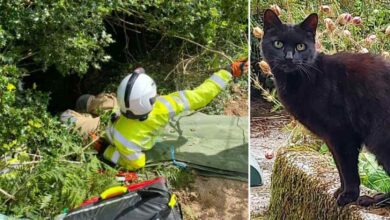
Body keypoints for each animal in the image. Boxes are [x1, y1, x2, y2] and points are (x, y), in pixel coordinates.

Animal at [260, 9, 390, 206]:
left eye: (300, 47)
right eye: (278, 44)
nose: (289, 57)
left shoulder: (342, 133)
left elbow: (348, 169)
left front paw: (348, 196)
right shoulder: (331, 137)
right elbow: (340, 167)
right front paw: (340, 192)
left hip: (380, 139)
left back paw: (375, 199)